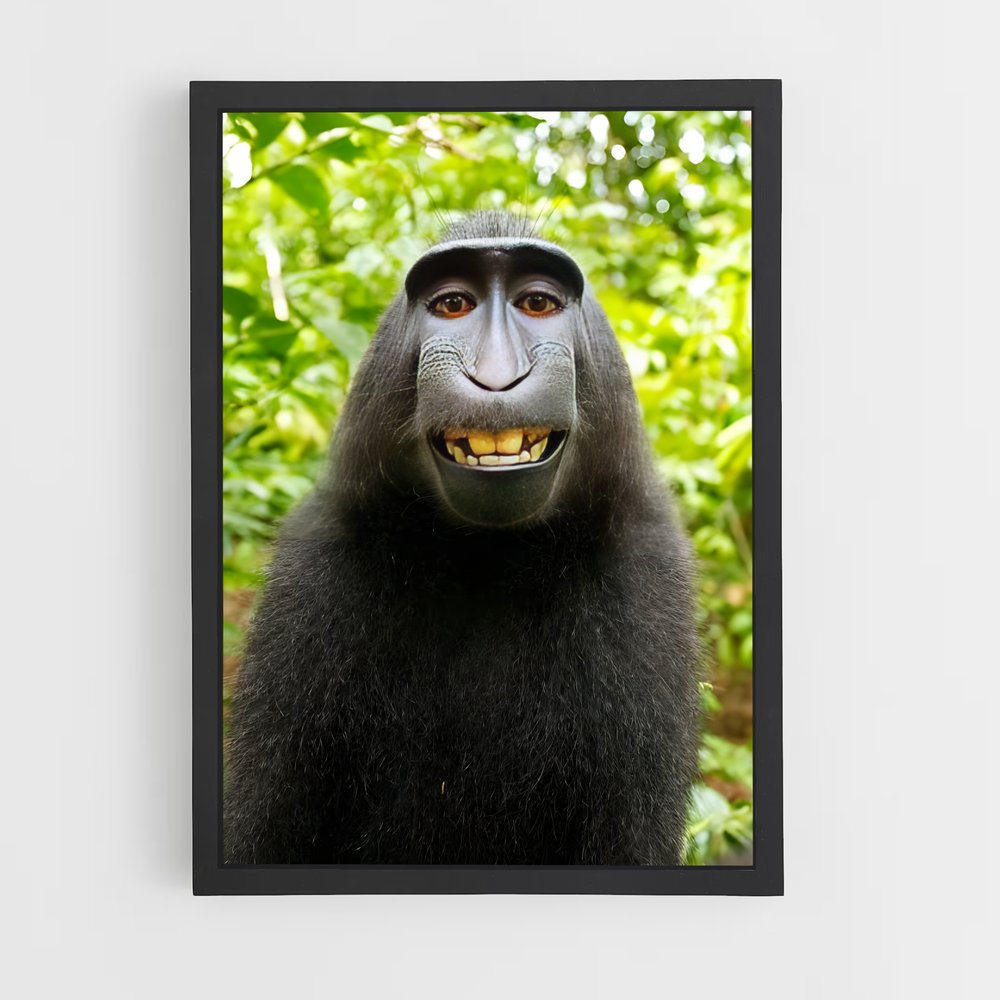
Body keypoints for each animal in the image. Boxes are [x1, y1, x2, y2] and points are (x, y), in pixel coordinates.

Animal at [223, 211, 701, 865]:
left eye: (537, 303)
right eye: (453, 305)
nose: (497, 377)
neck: (486, 557)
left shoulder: (646, 578)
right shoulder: (315, 565)